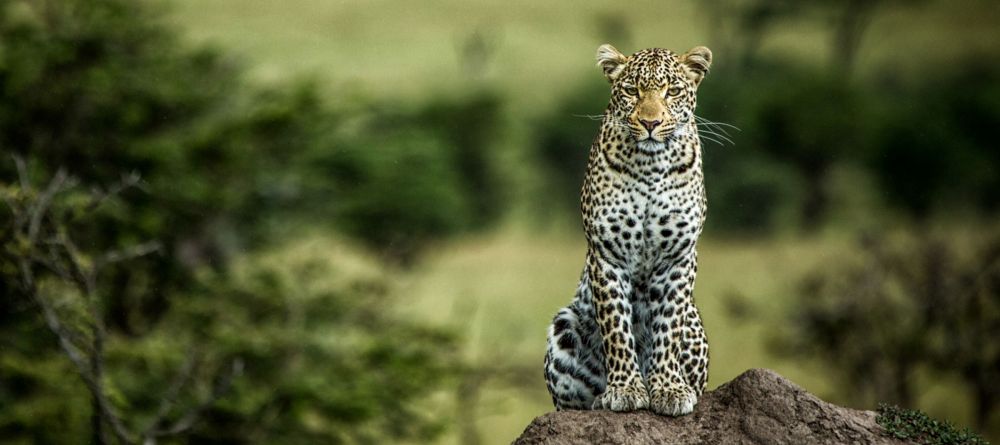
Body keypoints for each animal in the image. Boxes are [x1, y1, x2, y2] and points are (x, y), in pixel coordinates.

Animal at [544, 43, 716, 414]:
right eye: (631, 90)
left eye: (673, 91)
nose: (650, 122)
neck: (650, 166)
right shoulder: (607, 254)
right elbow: (616, 328)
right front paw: (625, 389)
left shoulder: (679, 256)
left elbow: (668, 326)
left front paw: (668, 389)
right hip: (564, 326)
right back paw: (598, 399)